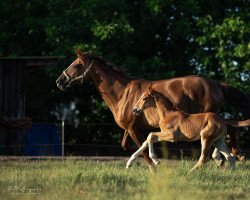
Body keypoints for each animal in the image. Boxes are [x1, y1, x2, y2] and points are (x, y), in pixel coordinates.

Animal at [56, 49, 250, 169]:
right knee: (228, 130)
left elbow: (144, 152)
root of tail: (216, 84)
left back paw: (227, 157)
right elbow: (129, 145)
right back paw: (225, 158)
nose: (59, 81)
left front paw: (155, 165)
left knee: (229, 130)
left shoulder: (134, 129)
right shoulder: (130, 130)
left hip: (210, 114)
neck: (123, 94)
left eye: (76, 65)